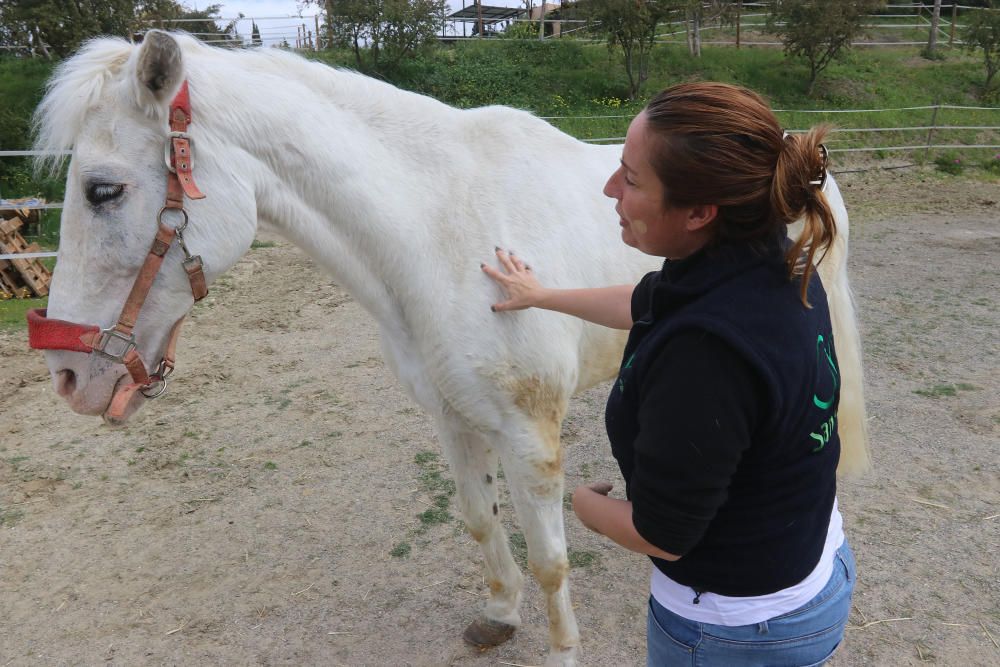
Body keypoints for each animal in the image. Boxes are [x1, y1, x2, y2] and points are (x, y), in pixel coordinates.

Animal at [27, 32, 864, 667]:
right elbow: (479, 520)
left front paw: (561, 650)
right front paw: (499, 615)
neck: (438, 235)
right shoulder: (451, 415)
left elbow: (550, 557)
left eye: (103, 189)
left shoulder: (529, 435)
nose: (67, 374)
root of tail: (796, 155)